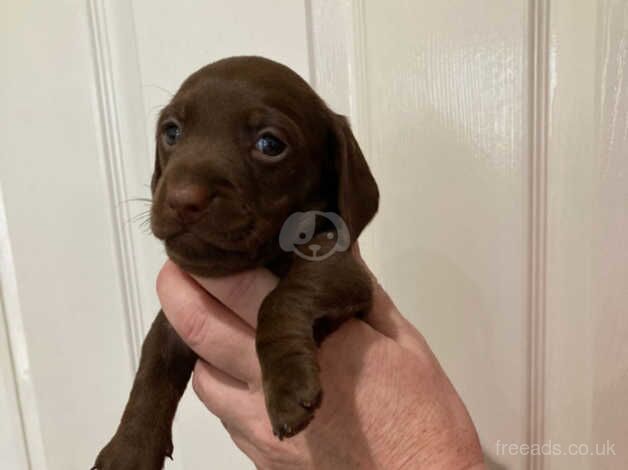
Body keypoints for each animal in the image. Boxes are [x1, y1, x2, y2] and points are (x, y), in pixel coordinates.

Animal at [93, 56, 378, 470]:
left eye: (270, 144)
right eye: (172, 133)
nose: (182, 199)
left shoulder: (341, 270)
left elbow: (282, 299)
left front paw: (288, 385)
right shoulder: (173, 318)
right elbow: (152, 365)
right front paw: (130, 447)